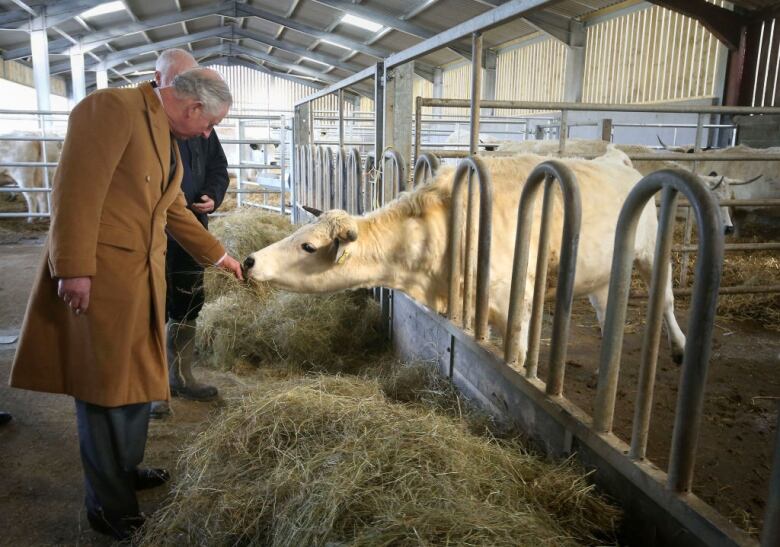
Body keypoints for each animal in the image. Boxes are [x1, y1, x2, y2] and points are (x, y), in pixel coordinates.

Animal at [247, 151, 684, 368]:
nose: (250, 260)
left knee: (665, 300)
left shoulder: (515, 306)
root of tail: (616, 159)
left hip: (650, 254)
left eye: (307, 246)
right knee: (604, 306)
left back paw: (679, 347)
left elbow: (517, 357)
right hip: (602, 274)